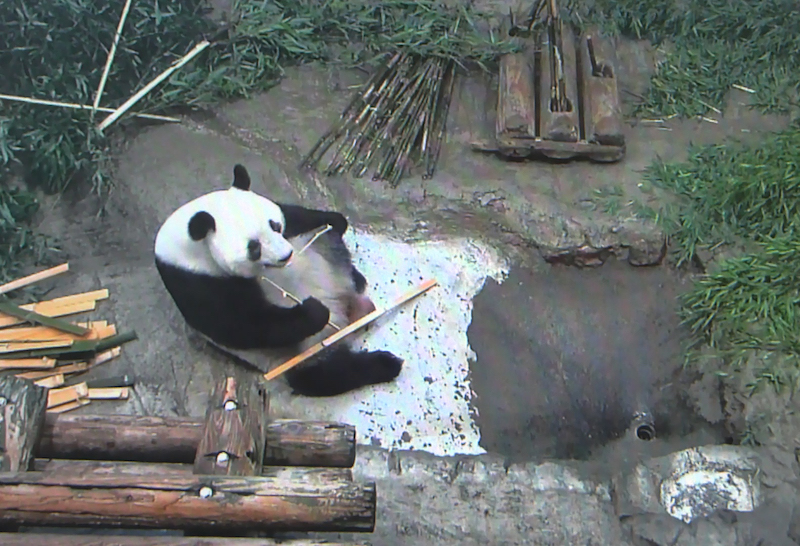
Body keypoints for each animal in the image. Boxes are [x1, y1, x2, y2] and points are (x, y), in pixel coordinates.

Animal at [155, 162, 406, 396]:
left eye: (275, 225)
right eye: (254, 247)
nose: (287, 255)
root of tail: (348, 309)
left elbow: (297, 216)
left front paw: (335, 220)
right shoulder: (194, 281)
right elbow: (246, 325)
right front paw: (314, 311)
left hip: (321, 252)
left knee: (329, 243)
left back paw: (356, 278)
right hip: (302, 351)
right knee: (326, 372)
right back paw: (386, 364)